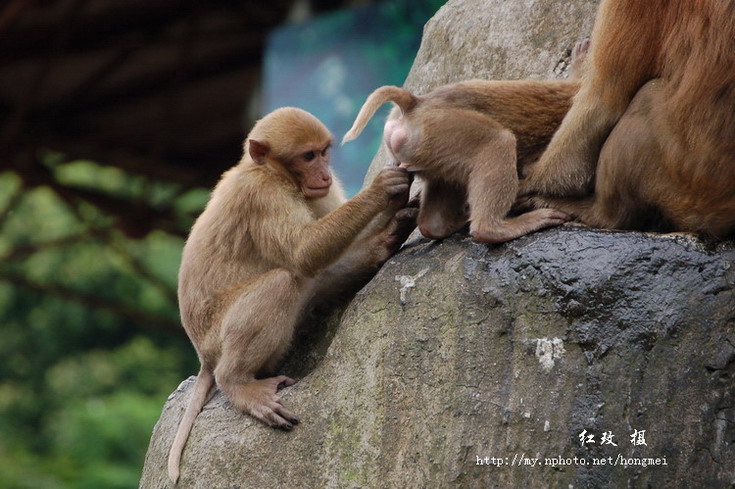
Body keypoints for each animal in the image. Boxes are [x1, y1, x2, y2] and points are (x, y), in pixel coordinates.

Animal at [169, 106, 416, 480]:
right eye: (308, 156)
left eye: (324, 152)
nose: (324, 173)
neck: (272, 173)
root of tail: (204, 357)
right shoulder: (262, 194)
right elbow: (304, 252)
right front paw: (383, 189)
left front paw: (396, 214)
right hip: (216, 336)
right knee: (285, 279)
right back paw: (237, 382)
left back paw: (383, 246)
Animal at [344, 41, 592, 243]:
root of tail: (416, 104)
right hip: (440, 129)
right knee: (497, 141)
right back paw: (493, 229)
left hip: (428, 150)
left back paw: (440, 225)